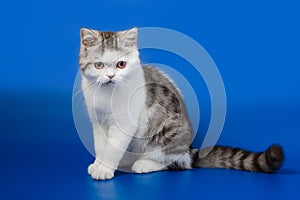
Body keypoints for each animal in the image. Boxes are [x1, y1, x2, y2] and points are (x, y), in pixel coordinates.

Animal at [78, 27, 284, 180]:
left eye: (121, 64)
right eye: (99, 65)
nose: (110, 76)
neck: (106, 95)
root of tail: (189, 150)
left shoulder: (124, 123)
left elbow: (113, 147)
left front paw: (104, 168)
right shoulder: (98, 121)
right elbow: (101, 146)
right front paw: (99, 164)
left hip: (166, 133)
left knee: (176, 163)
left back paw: (143, 164)